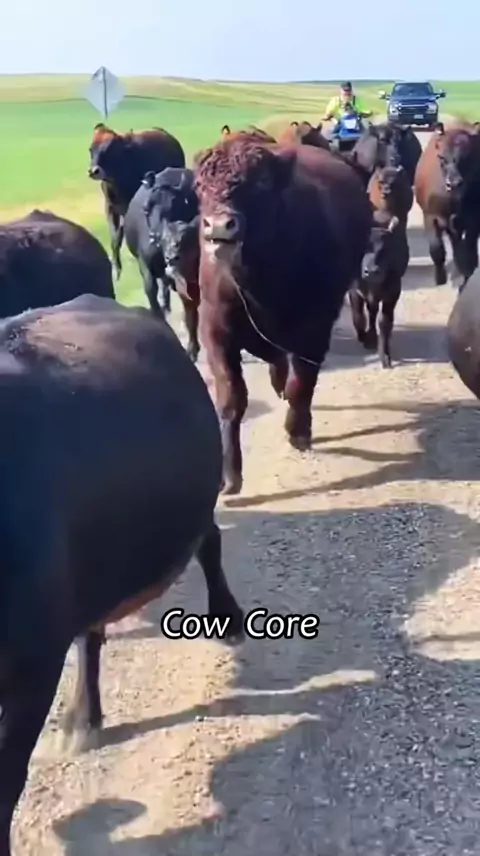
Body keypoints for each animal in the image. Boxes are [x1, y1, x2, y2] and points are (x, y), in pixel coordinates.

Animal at [87, 123, 185, 297]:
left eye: (109, 149)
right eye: (91, 149)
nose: (94, 171)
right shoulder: (110, 207)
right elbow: (115, 239)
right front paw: (116, 270)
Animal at [125, 167, 201, 360]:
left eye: (174, 207)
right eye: (146, 209)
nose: (155, 236)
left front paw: (193, 348)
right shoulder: (145, 264)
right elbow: (151, 289)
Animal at [193, 136, 372, 494]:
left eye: (261, 181)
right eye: (200, 186)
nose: (220, 226)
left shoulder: (315, 327)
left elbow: (301, 383)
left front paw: (298, 431)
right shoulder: (216, 329)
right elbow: (231, 398)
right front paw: (229, 475)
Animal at [349, 212, 409, 368]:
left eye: (385, 249)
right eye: (363, 248)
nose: (371, 271)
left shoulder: (392, 294)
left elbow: (384, 322)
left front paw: (385, 356)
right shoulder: (354, 291)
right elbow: (358, 316)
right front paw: (364, 338)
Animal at [414, 121, 480, 290]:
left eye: (468, 156)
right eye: (441, 157)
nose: (454, 183)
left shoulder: (473, 221)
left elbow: (468, 251)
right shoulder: (430, 216)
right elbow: (436, 249)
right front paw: (440, 278)